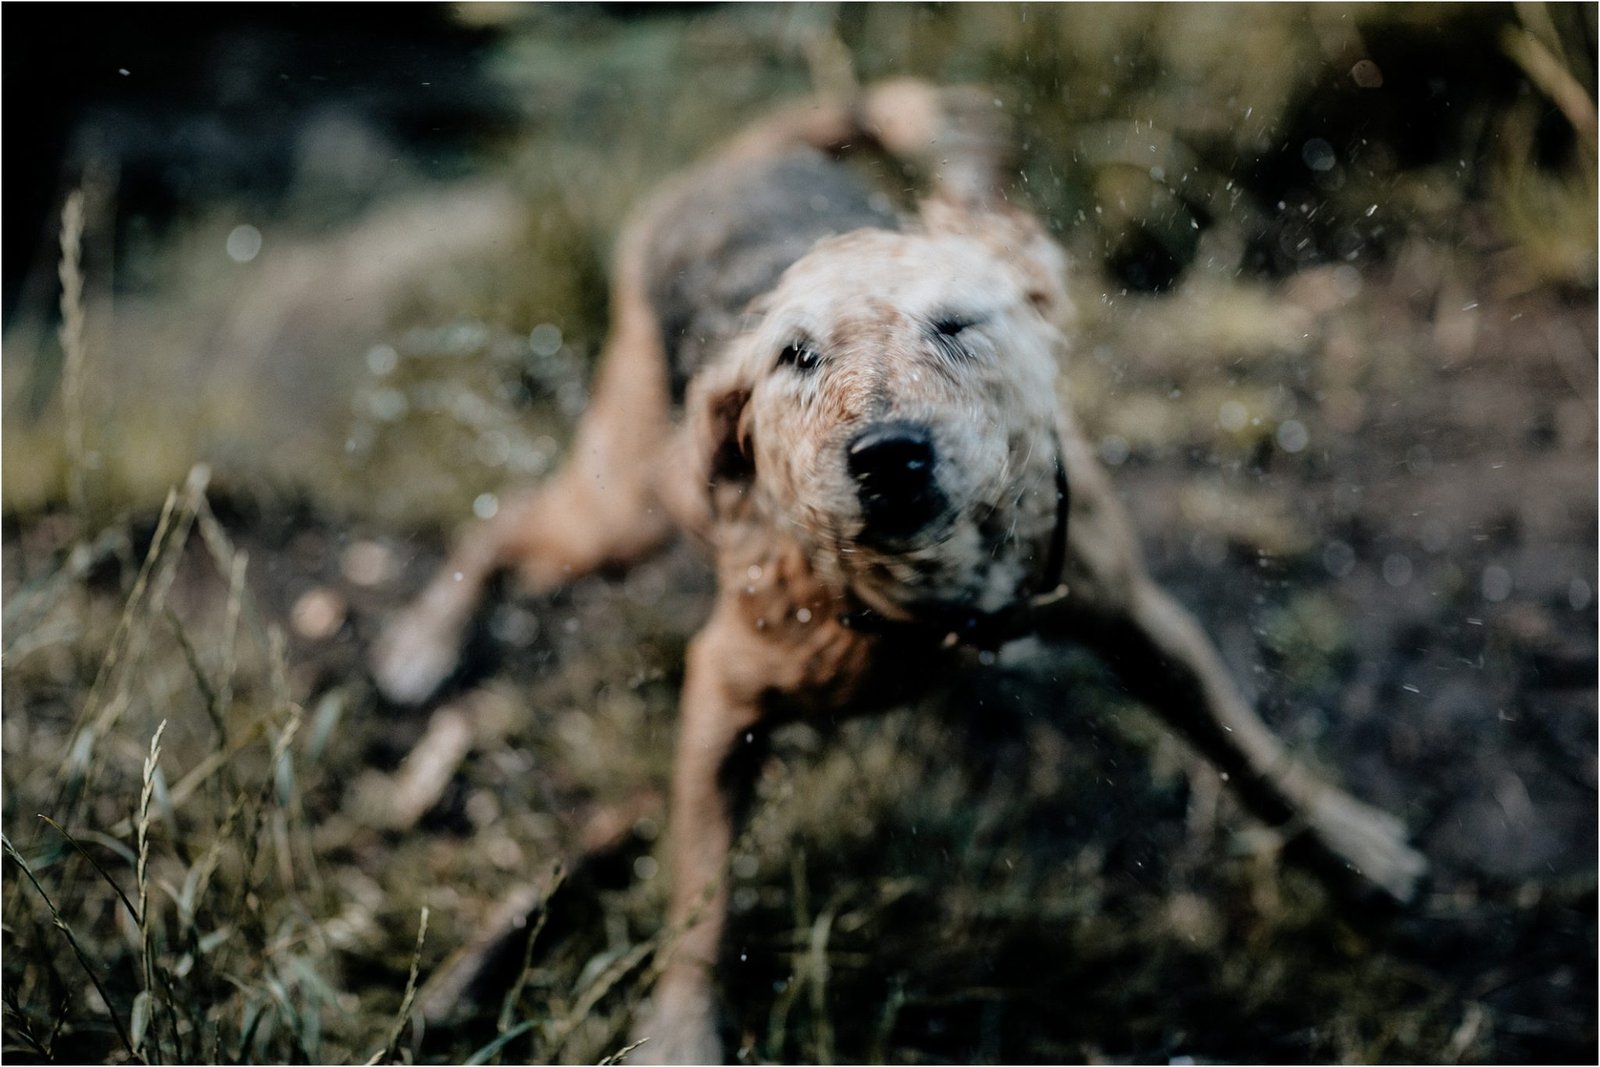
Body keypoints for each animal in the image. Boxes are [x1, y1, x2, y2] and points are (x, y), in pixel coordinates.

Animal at [372, 81, 1427, 1063]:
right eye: (795, 356)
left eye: (956, 324)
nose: (886, 453)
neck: (933, 594)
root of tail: (733, 162)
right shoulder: (722, 688)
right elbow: (700, 899)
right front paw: (679, 1027)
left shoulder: (1133, 612)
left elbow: (1249, 751)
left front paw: (1354, 851)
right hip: (625, 499)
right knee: (507, 525)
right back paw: (423, 640)